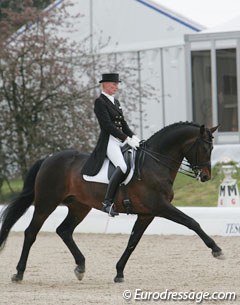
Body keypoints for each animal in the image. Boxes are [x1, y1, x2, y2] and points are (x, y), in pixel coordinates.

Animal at [0, 121, 225, 282]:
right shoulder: (161, 207)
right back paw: (19, 273)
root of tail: (48, 158)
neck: (155, 163)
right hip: (46, 202)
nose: (206, 177)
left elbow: (133, 241)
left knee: (64, 230)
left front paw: (119, 273)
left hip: (79, 206)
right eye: (204, 148)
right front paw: (217, 250)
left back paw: (80, 267)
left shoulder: (147, 213)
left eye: (213, 148)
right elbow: (192, 222)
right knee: (31, 232)